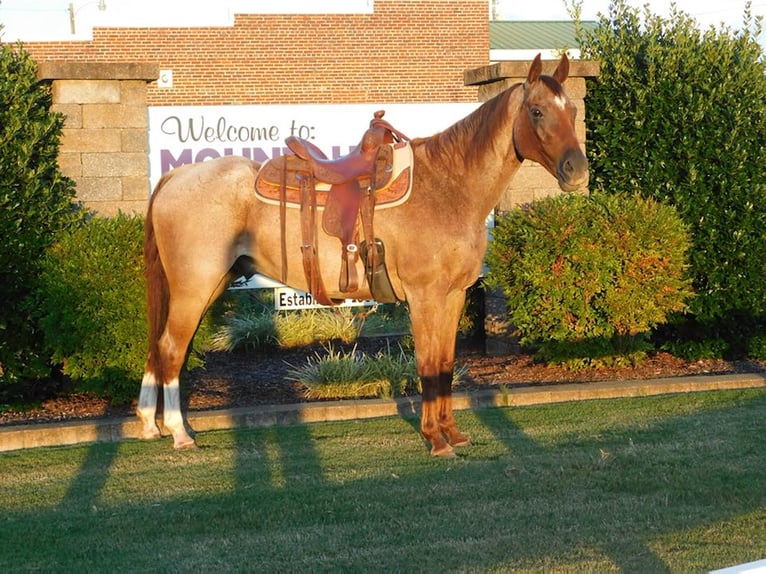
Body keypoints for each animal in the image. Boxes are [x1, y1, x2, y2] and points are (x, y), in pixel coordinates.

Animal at [138, 55, 592, 460]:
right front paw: (435, 440)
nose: (577, 170)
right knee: (172, 348)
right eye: (537, 111)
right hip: (194, 287)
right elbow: (428, 365)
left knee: (166, 348)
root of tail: (175, 176)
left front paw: (453, 434)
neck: (449, 186)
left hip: (211, 285)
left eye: (571, 109)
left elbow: (446, 365)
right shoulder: (425, 297)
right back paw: (179, 433)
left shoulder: (454, 295)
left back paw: (152, 423)